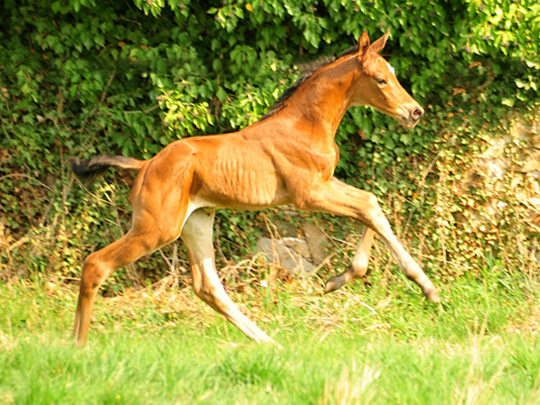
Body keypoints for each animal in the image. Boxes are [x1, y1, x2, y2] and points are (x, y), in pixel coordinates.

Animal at [71, 30, 440, 346]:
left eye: (393, 74)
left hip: (196, 222)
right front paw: (426, 287)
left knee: (207, 286)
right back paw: (78, 346)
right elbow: (367, 207)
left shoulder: (324, 182)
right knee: (96, 264)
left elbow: (370, 202)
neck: (305, 123)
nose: (415, 112)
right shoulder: (308, 194)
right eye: (381, 79)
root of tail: (145, 165)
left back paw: (269, 342)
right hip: (156, 228)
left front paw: (340, 279)